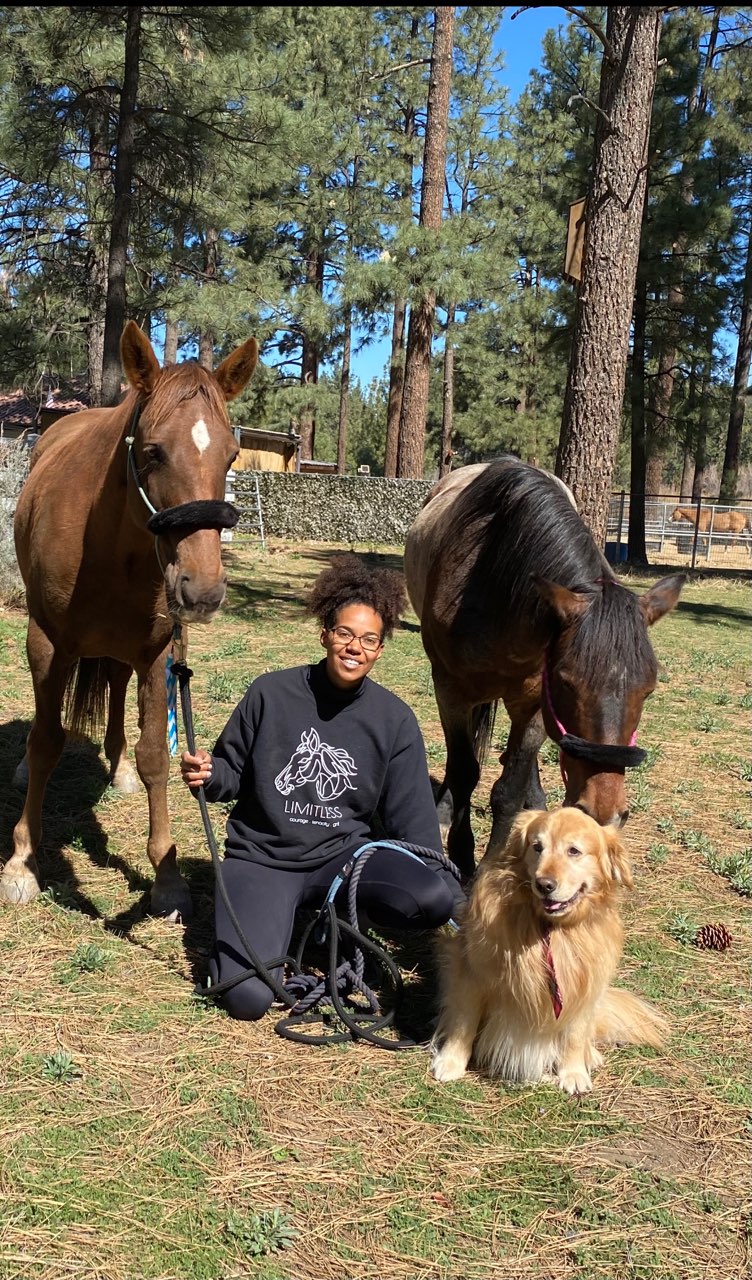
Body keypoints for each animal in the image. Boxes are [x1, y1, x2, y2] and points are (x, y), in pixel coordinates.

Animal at [5, 320, 258, 921]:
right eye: (153, 451)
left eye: (232, 456)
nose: (202, 590)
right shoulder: (47, 644)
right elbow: (46, 741)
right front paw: (22, 862)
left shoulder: (158, 652)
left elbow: (155, 756)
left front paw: (165, 875)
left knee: (117, 687)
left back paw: (116, 766)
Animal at [404, 460, 685, 880]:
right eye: (568, 681)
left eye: (648, 689)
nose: (604, 812)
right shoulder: (450, 690)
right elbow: (466, 771)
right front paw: (461, 852)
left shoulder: (536, 700)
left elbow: (510, 788)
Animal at [432, 808, 665, 1090]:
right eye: (537, 847)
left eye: (573, 851)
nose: (544, 884)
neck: (551, 927)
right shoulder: (471, 970)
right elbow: (463, 1021)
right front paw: (451, 1061)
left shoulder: (583, 984)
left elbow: (576, 1033)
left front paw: (573, 1072)